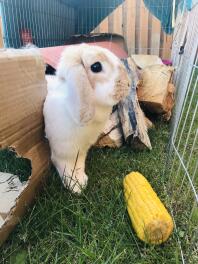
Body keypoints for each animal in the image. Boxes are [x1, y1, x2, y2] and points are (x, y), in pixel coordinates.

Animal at [43, 42, 130, 192]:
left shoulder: (82, 150)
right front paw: (74, 186)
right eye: (96, 66)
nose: (128, 83)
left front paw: (82, 180)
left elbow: (78, 164)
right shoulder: (63, 151)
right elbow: (65, 166)